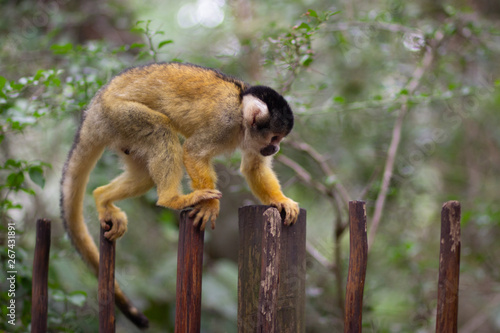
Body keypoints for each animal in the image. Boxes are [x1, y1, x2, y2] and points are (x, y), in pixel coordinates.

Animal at [60, 62, 298, 326]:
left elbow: (253, 167)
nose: (275, 148)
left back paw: (102, 197)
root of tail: (94, 107)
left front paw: (281, 201)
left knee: (143, 175)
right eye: (275, 137)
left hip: (120, 131)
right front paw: (209, 205)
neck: (241, 114)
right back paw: (171, 199)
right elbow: (193, 152)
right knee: (160, 129)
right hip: (117, 114)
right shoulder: (224, 123)